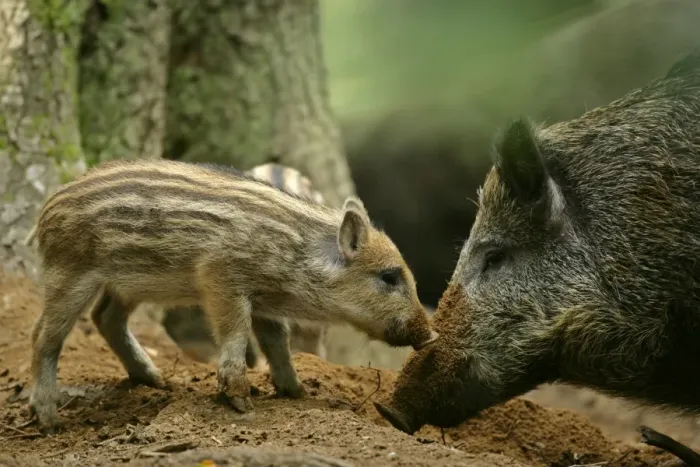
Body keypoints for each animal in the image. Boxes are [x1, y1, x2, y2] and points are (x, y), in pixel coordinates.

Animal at [28, 159, 437, 431]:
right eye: (389, 276)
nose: (432, 334)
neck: (296, 256)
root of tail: (45, 210)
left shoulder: (266, 300)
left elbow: (276, 339)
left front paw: (296, 392)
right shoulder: (220, 279)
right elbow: (236, 333)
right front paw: (242, 403)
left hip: (127, 284)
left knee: (105, 318)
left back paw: (155, 381)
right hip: (70, 272)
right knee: (44, 335)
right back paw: (48, 419)